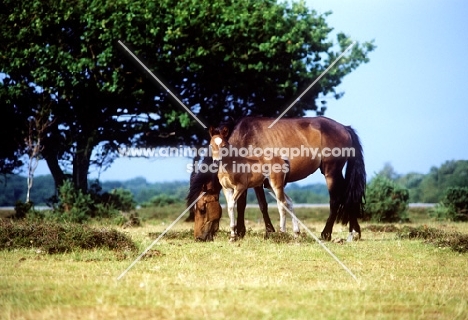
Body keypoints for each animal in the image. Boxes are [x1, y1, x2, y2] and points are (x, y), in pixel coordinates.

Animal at [190, 116, 366, 241]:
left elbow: (253, 205)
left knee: (336, 200)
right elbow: (252, 205)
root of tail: (345, 128)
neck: (243, 139)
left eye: (202, 209)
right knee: (349, 196)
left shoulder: (251, 183)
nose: (198, 237)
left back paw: (327, 234)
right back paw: (354, 231)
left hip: (331, 173)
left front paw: (259, 232)